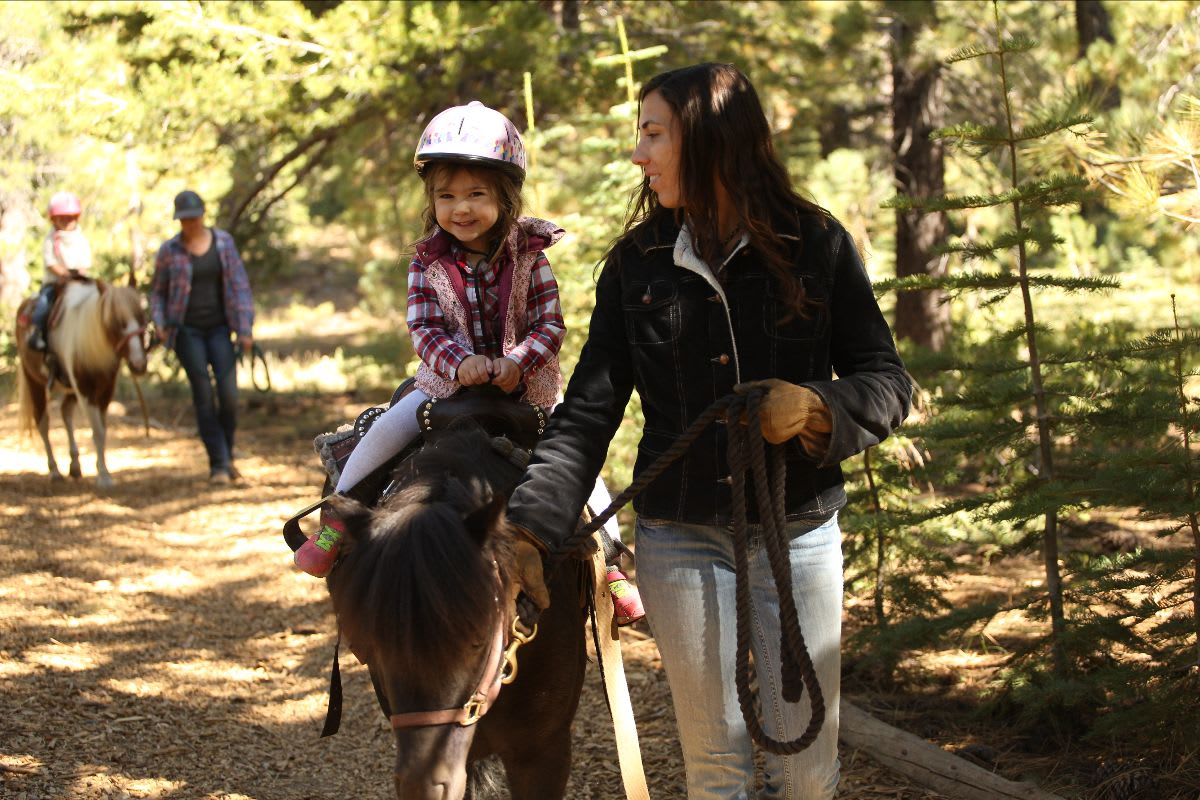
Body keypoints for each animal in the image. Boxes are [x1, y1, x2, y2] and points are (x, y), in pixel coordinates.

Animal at [15, 281, 148, 491]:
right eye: (116, 322)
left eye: (141, 317)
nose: (139, 364)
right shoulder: (85, 389)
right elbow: (97, 431)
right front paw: (103, 476)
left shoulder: (105, 390)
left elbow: (102, 430)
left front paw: (102, 471)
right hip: (33, 380)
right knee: (42, 422)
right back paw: (54, 471)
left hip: (70, 388)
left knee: (66, 411)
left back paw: (75, 465)